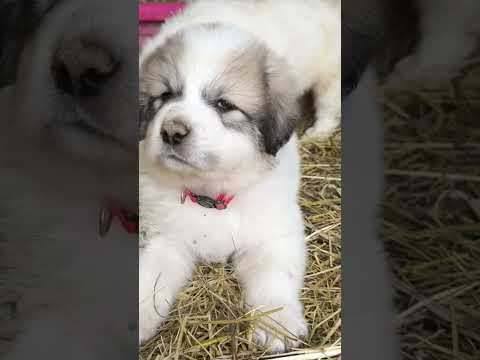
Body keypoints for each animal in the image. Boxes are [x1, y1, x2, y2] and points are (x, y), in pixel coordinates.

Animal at [138, 0, 342, 352]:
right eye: (165, 96)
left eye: (223, 104)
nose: (172, 131)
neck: (209, 193)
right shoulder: (167, 236)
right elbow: (151, 277)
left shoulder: (274, 233)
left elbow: (274, 278)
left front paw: (277, 323)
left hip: (331, 69)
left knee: (331, 102)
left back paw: (319, 132)